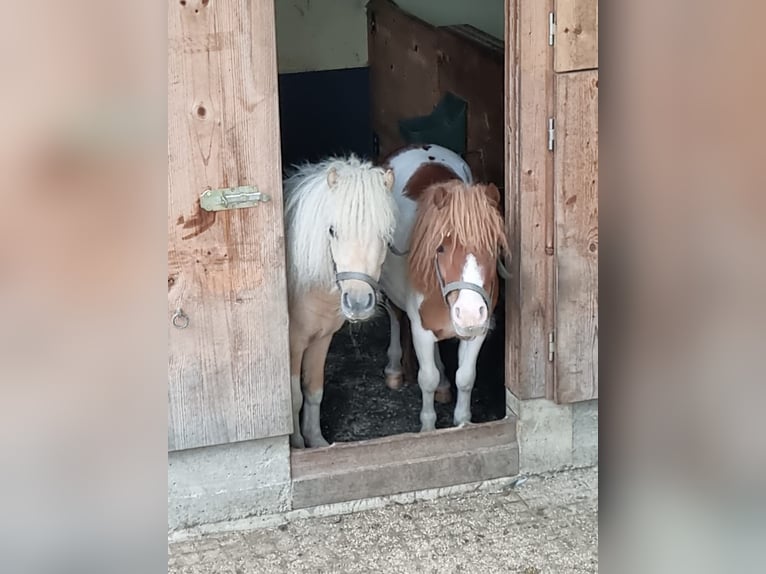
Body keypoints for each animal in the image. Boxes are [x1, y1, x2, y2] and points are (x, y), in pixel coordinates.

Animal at [284, 158, 400, 450]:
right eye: (332, 230)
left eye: (386, 234)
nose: (358, 303)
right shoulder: (293, 345)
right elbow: (293, 397)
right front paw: (297, 445)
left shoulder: (321, 338)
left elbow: (313, 391)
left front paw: (316, 440)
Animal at [380, 146, 510, 434]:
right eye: (439, 247)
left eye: (494, 245)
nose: (470, 313)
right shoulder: (420, 330)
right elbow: (426, 379)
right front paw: (428, 429)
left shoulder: (477, 332)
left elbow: (466, 377)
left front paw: (462, 421)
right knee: (394, 317)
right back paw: (394, 369)